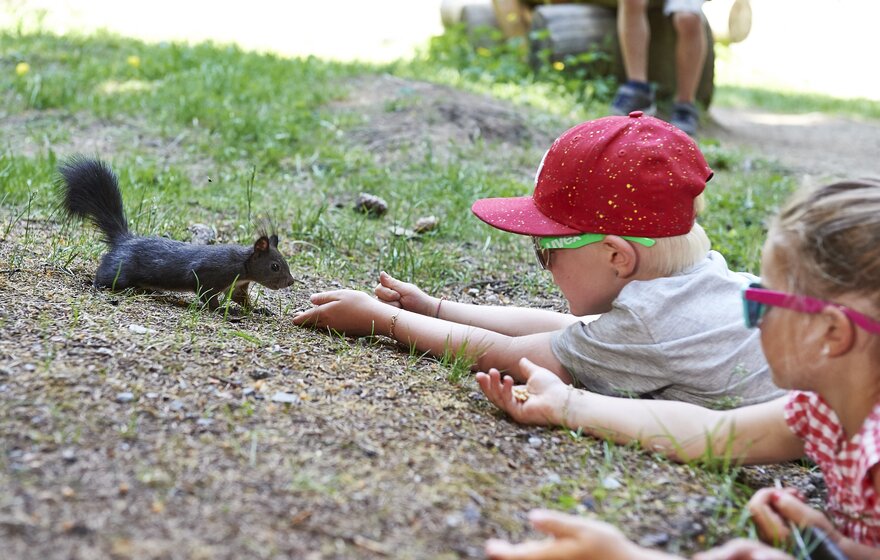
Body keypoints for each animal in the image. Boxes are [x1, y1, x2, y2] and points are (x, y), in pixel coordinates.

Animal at [61, 155, 300, 308]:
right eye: (275, 266)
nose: (290, 282)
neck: (243, 266)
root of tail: (124, 240)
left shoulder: (239, 286)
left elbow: (242, 300)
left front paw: (257, 309)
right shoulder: (209, 274)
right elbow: (208, 297)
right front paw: (224, 310)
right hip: (119, 270)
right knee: (106, 275)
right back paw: (95, 283)